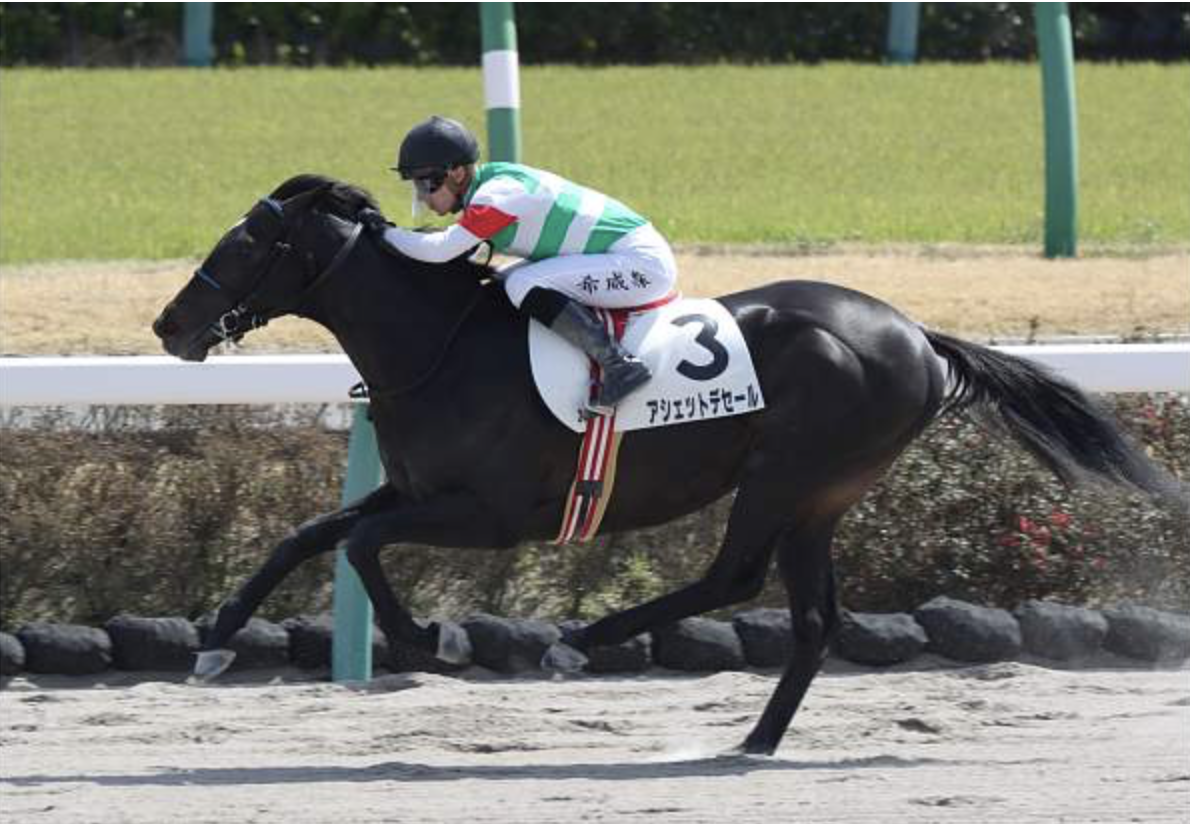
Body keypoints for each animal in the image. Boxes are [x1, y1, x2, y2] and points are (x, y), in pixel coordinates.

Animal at [152, 174, 1184, 756]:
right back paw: (756, 739)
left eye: (245, 243)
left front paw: (427, 638)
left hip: (787, 473)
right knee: (812, 618)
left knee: (735, 578)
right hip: (823, 496)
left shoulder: (492, 513)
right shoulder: (412, 487)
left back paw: (581, 640)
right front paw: (218, 637)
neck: (440, 345)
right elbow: (309, 534)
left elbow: (362, 546)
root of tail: (917, 337)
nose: (168, 326)